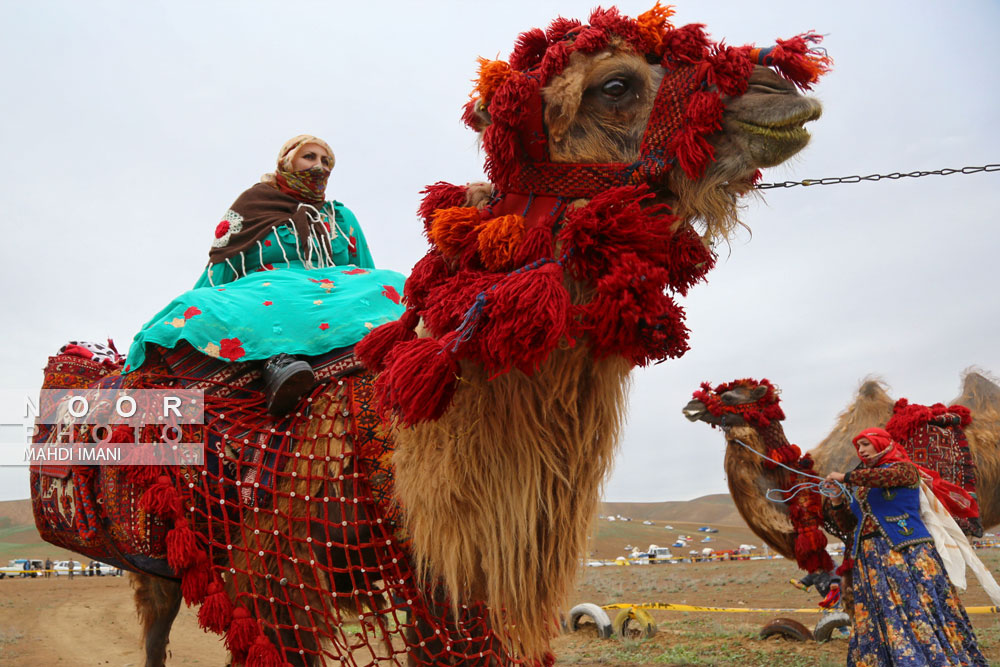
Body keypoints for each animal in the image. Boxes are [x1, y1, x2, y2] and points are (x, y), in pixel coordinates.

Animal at [29, 6, 828, 667]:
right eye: (616, 84)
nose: (783, 89)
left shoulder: (447, 586)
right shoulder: (276, 582)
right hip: (156, 546)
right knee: (155, 624)